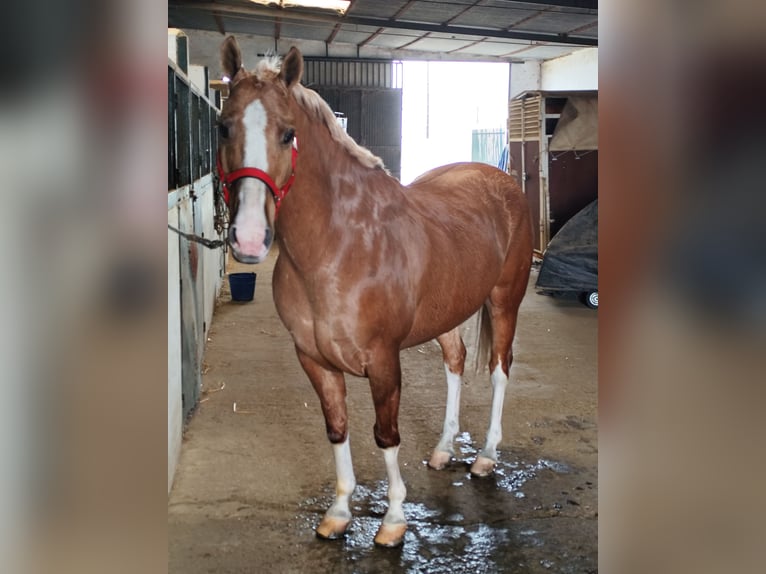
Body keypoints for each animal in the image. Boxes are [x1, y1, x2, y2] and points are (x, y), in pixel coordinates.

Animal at [216, 36, 533, 548]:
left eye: (287, 134)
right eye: (224, 127)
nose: (247, 239)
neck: (340, 247)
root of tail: (503, 181)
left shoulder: (384, 360)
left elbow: (386, 435)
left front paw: (394, 521)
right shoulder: (314, 360)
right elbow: (337, 429)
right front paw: (339, 513)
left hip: (505, 301)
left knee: (499, 371)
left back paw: (486, 456)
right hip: (446, 313)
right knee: (456, 362)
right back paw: (444, 449)